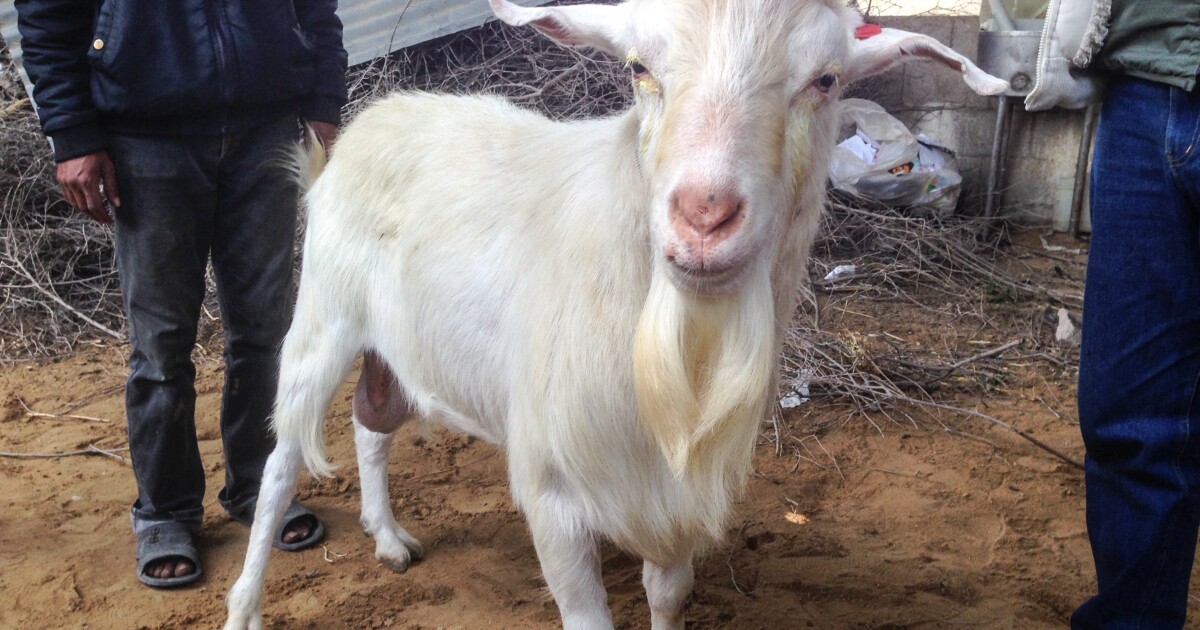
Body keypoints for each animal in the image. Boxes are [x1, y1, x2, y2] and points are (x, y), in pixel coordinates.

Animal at [224, 1, 1005, 628]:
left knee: (372, 422)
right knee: (281, 464)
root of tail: (368, 120)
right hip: (322, 317)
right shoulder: (554, 490)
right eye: (639, 69)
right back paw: (246, 604)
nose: (704, 216)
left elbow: (667, 595)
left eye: (826, 80)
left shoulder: (674, 494)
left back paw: (387, 537)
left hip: (398, 341)